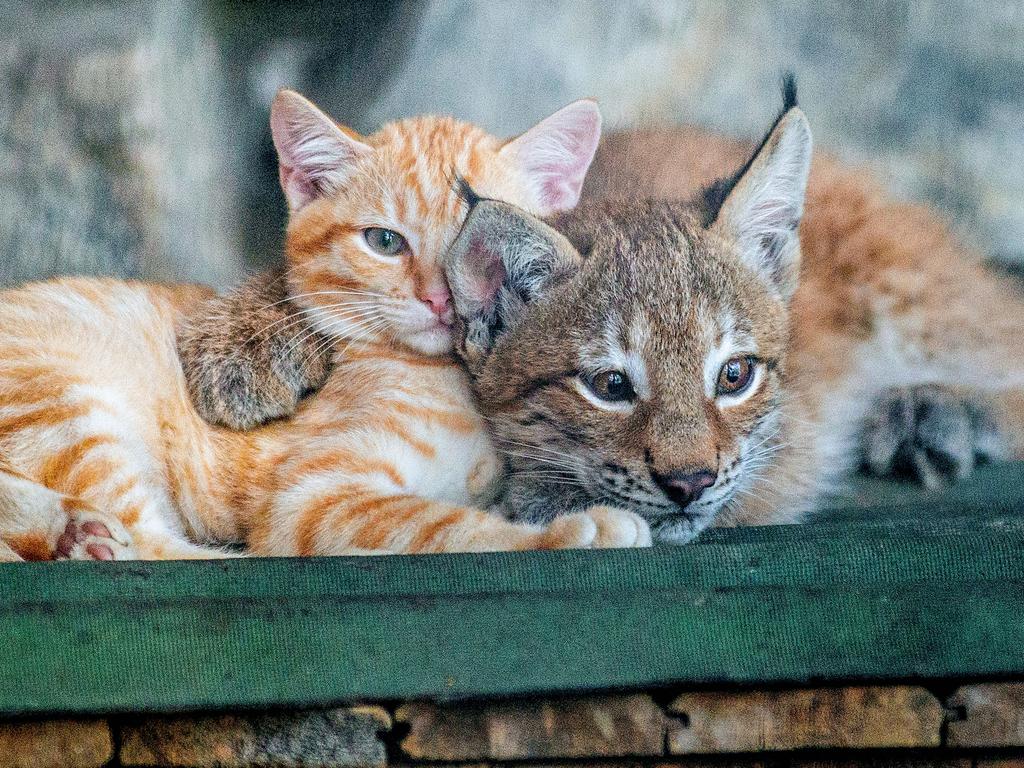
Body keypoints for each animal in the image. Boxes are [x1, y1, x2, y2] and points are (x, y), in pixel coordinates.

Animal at [0, 90, 647, 561]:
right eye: (384, 242)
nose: (440, 300)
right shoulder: (311, 498)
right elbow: (447, 527)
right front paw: (574, 529)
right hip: (62, 409)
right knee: (156, 548)